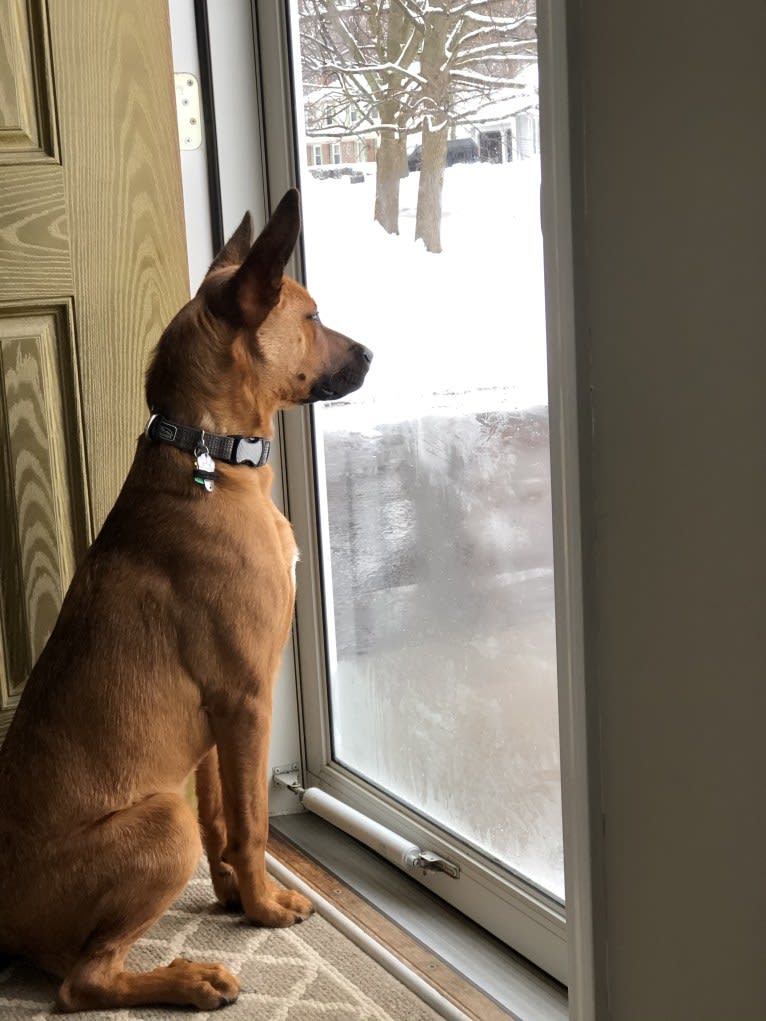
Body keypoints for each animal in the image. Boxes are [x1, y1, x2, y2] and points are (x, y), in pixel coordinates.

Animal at [0, 192, 371, 1012]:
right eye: (312, 316)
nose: (369, 354)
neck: (208, 454)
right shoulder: (248, 699)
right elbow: (254, 820)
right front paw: (263, 909)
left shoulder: (212, 726)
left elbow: (220, 817)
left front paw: (233, 893)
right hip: (156, 821)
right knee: (80, 982)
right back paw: (190, 977)